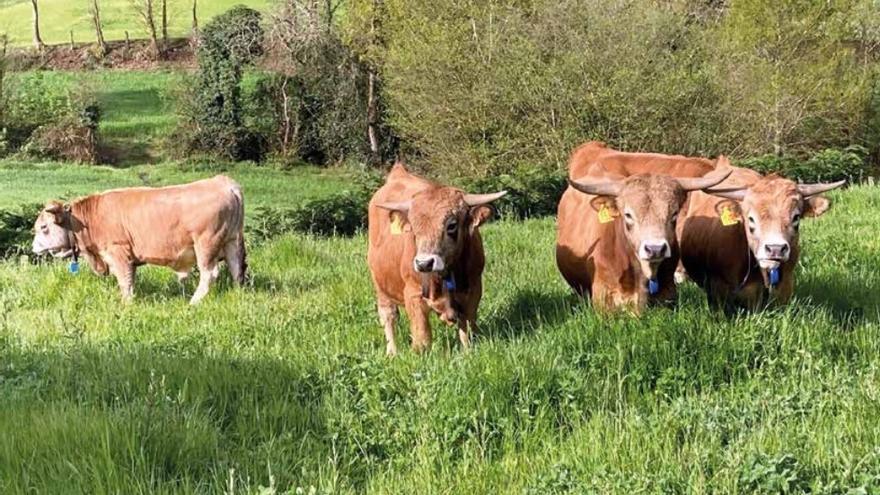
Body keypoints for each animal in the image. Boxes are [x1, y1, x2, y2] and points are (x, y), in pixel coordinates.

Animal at [32, 176, 246, 304]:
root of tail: (223, 182)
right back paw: (237, 295)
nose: (34, 248)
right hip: (231, 241)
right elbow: (131, 279)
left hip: (206, 244)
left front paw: (126, 304)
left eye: (43, 228)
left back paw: (193, 302)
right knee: (237, 269)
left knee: (209, 273)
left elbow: (124, 281)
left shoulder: (118, 252)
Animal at [364, 164, 506, 356]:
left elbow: (467, 329)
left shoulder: (474, 289)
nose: (424, 263)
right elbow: (422, 337)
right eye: (413, 228)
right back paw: (392, 352)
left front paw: (468, 352)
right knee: (388, 316)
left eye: (452, 225)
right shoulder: (413, 295)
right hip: (380, 286)